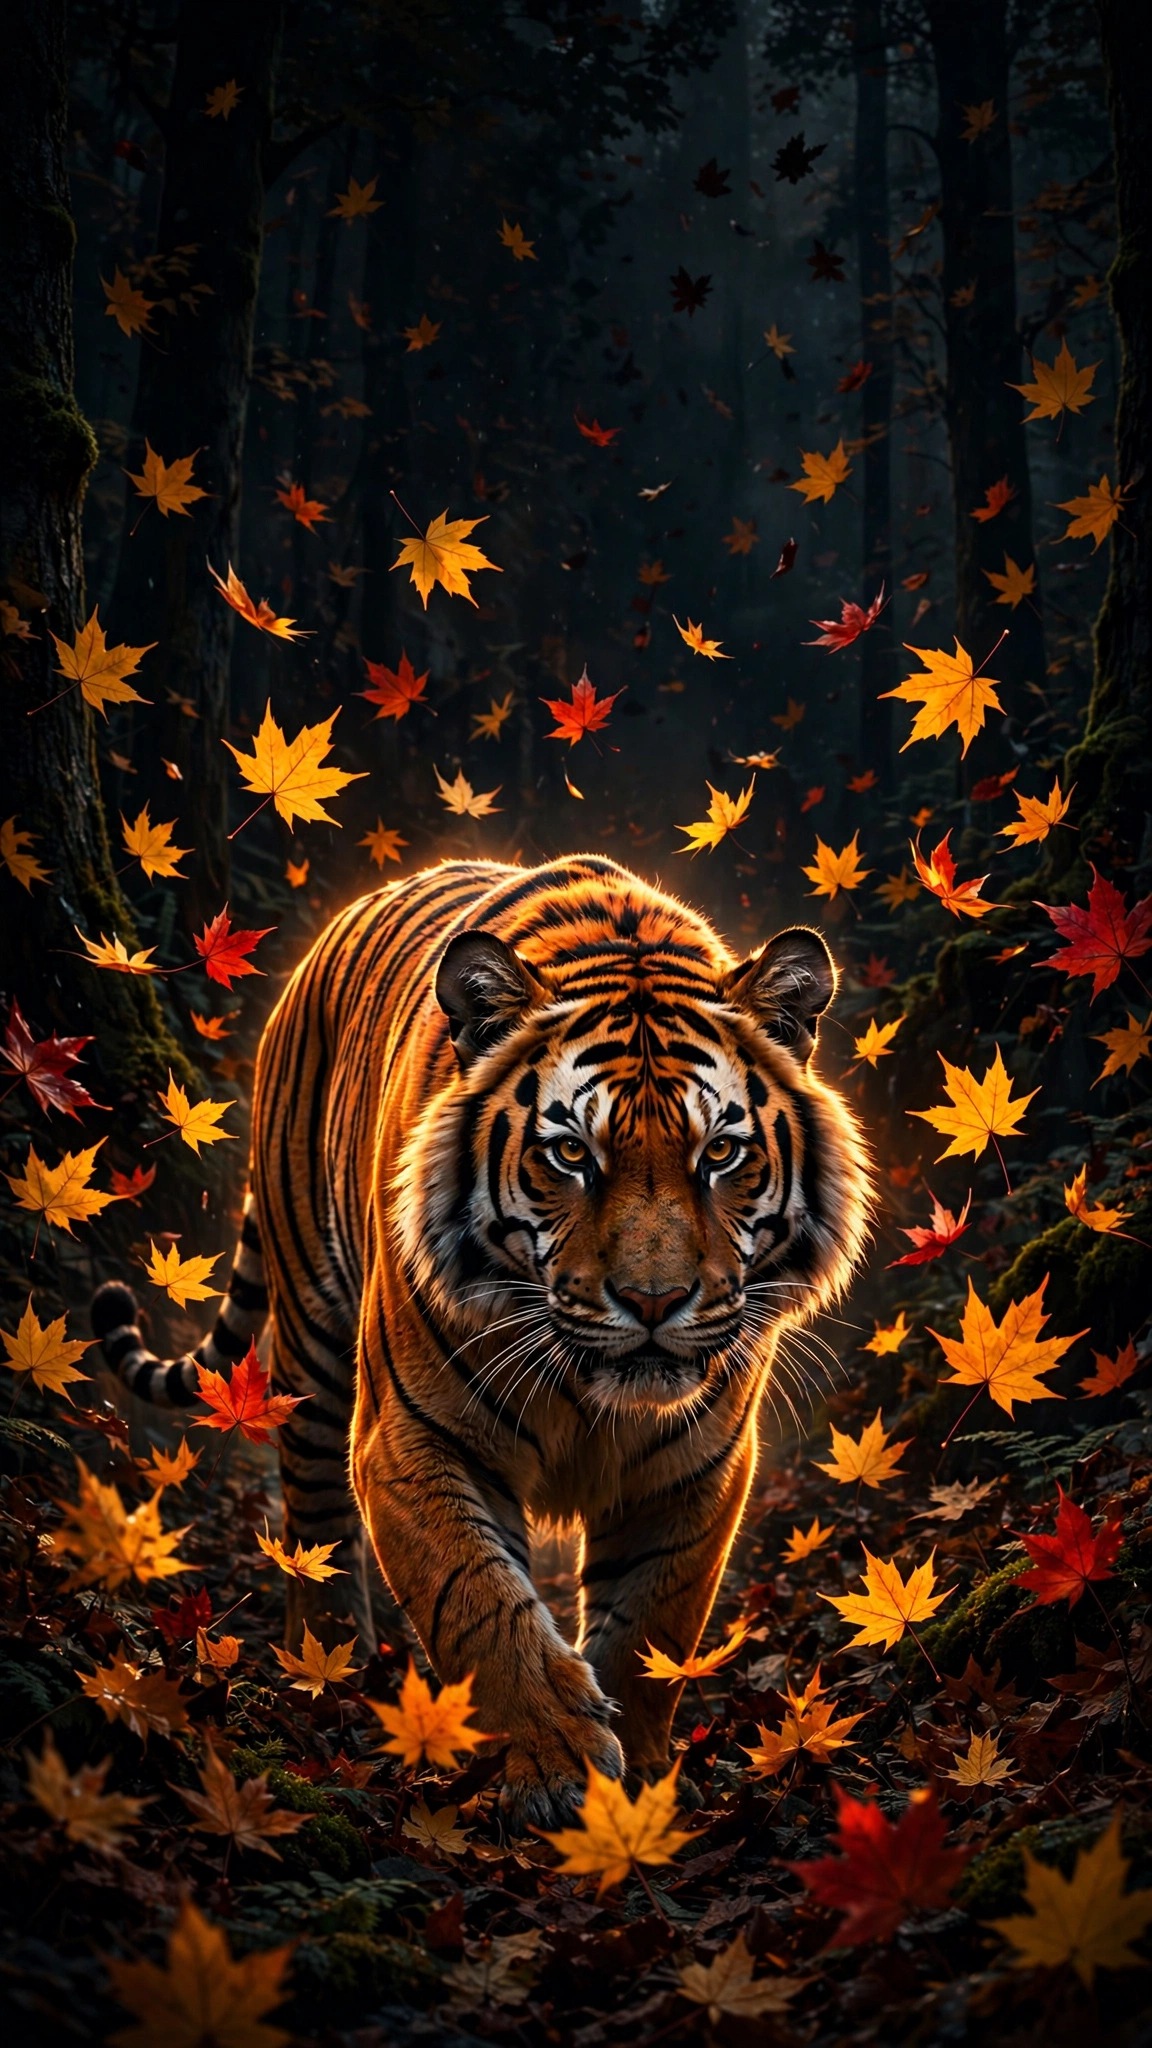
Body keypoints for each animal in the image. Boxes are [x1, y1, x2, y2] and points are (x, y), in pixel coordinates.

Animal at [92, 854, 871, 1824]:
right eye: (571, 1155)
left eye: (720, 1154)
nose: (653, 1301)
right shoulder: (413, 1438)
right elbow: (481, 1600)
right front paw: (559, 1765)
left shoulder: (698, 1464)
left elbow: (652, 1621)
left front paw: (636, 1788)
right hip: (312, 1338)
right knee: (315, 1520)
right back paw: (334, 1674)